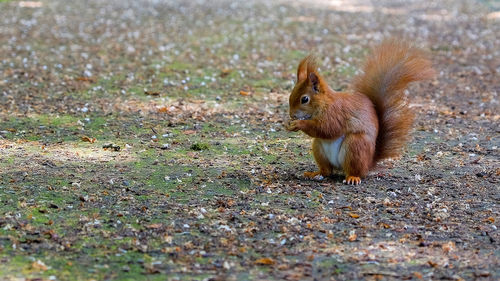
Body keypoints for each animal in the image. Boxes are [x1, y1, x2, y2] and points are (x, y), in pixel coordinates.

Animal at [288, 39, 436, 184]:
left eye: (305, 99)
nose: (291, 115)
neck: (325, 103)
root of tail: (368, 164)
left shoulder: (336, 113)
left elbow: (327, 128)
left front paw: (299, 124)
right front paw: (290, 124)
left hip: (356, 146)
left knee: (354, 170)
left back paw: (353, 177)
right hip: (319, 148)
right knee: (327, 171)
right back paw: (315, 173)